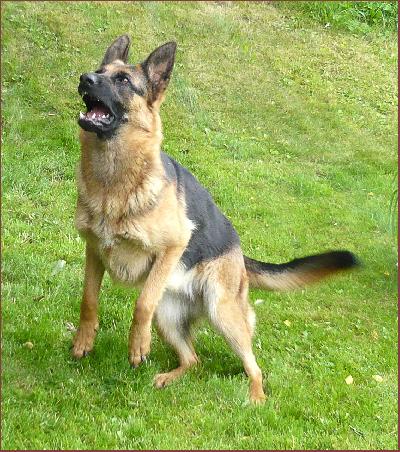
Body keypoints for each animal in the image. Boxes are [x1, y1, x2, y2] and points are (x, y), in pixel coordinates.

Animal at [73, 35, 358, 403]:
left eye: (122, 80)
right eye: (99, 70)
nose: (84, 78)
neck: (114, 182)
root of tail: (239, 254)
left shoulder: (173, 246)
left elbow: (142, 303)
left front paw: (138, 346)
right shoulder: (94, 251)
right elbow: (89, 300)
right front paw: (84, 340)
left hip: (223, 314)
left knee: (254, 366)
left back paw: (255, 398)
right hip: (169, 318)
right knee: (194, 360)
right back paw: (170, 377)